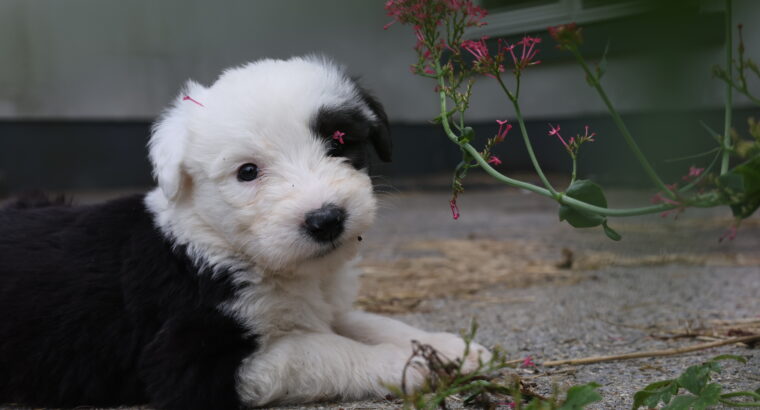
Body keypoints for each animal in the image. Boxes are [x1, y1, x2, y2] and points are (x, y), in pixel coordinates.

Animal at [0, 56, 486, 410]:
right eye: (247, 172)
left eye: (340, 141)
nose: (326, 219)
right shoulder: (190, 363)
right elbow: (319, 351)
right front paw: (405, 365)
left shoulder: (323, 305)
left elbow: (366, 322)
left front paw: (449, 348)